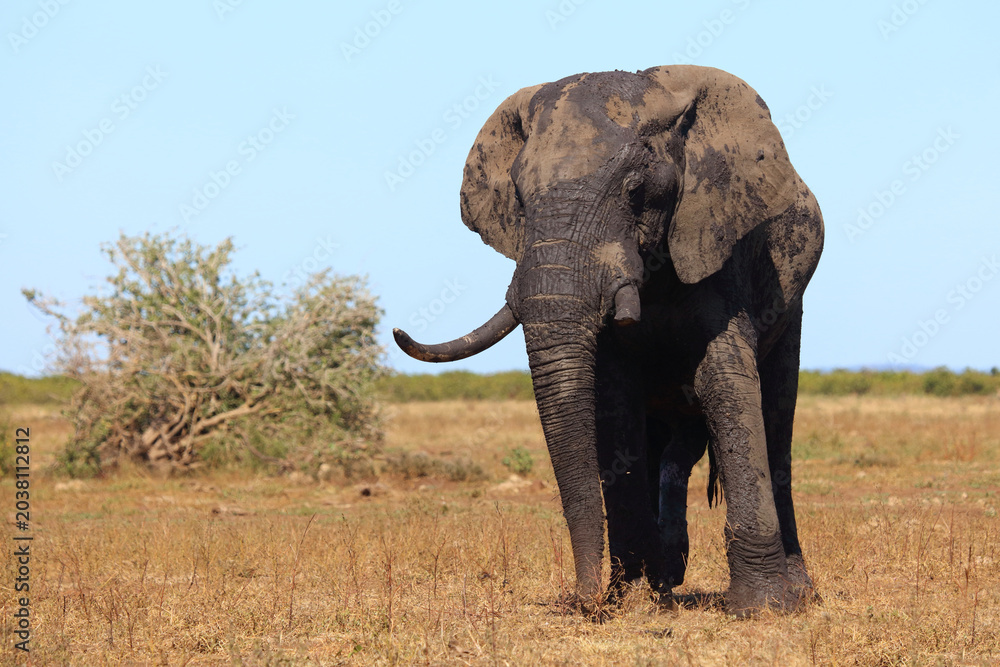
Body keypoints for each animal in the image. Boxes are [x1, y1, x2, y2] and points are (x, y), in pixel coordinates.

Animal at [393, 65, 824, 617]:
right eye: (519, 196)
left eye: (636, 189)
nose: (581, 598)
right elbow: (614, 400)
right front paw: (633, 598)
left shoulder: (716, 244)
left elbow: (725, 385)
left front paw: (762, 608)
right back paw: (662, 580)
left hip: (791, 297)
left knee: (775, 416)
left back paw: (796, 591)